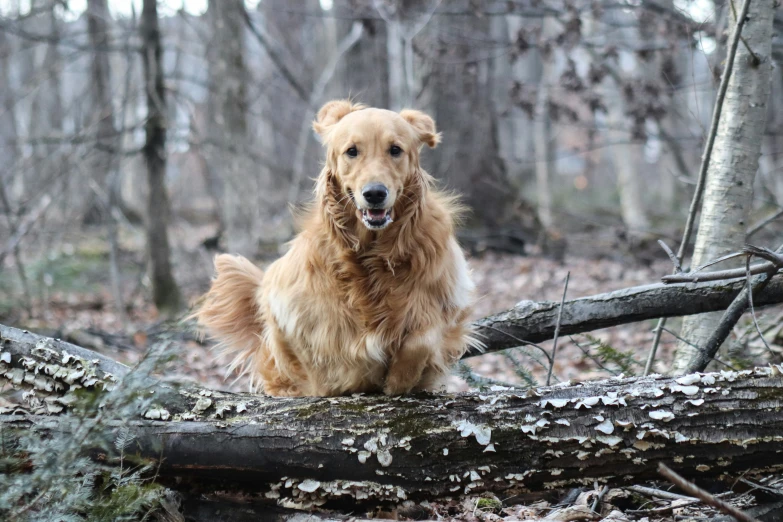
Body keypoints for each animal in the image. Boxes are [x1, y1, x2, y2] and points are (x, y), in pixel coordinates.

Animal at [194, 100, 480, 394]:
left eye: (395, 150)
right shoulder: (292, 309)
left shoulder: (448, 298)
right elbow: (324, 358)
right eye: (352, 151)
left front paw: (400, 379)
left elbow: (423, 338)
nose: (374, 193)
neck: (371, 254)